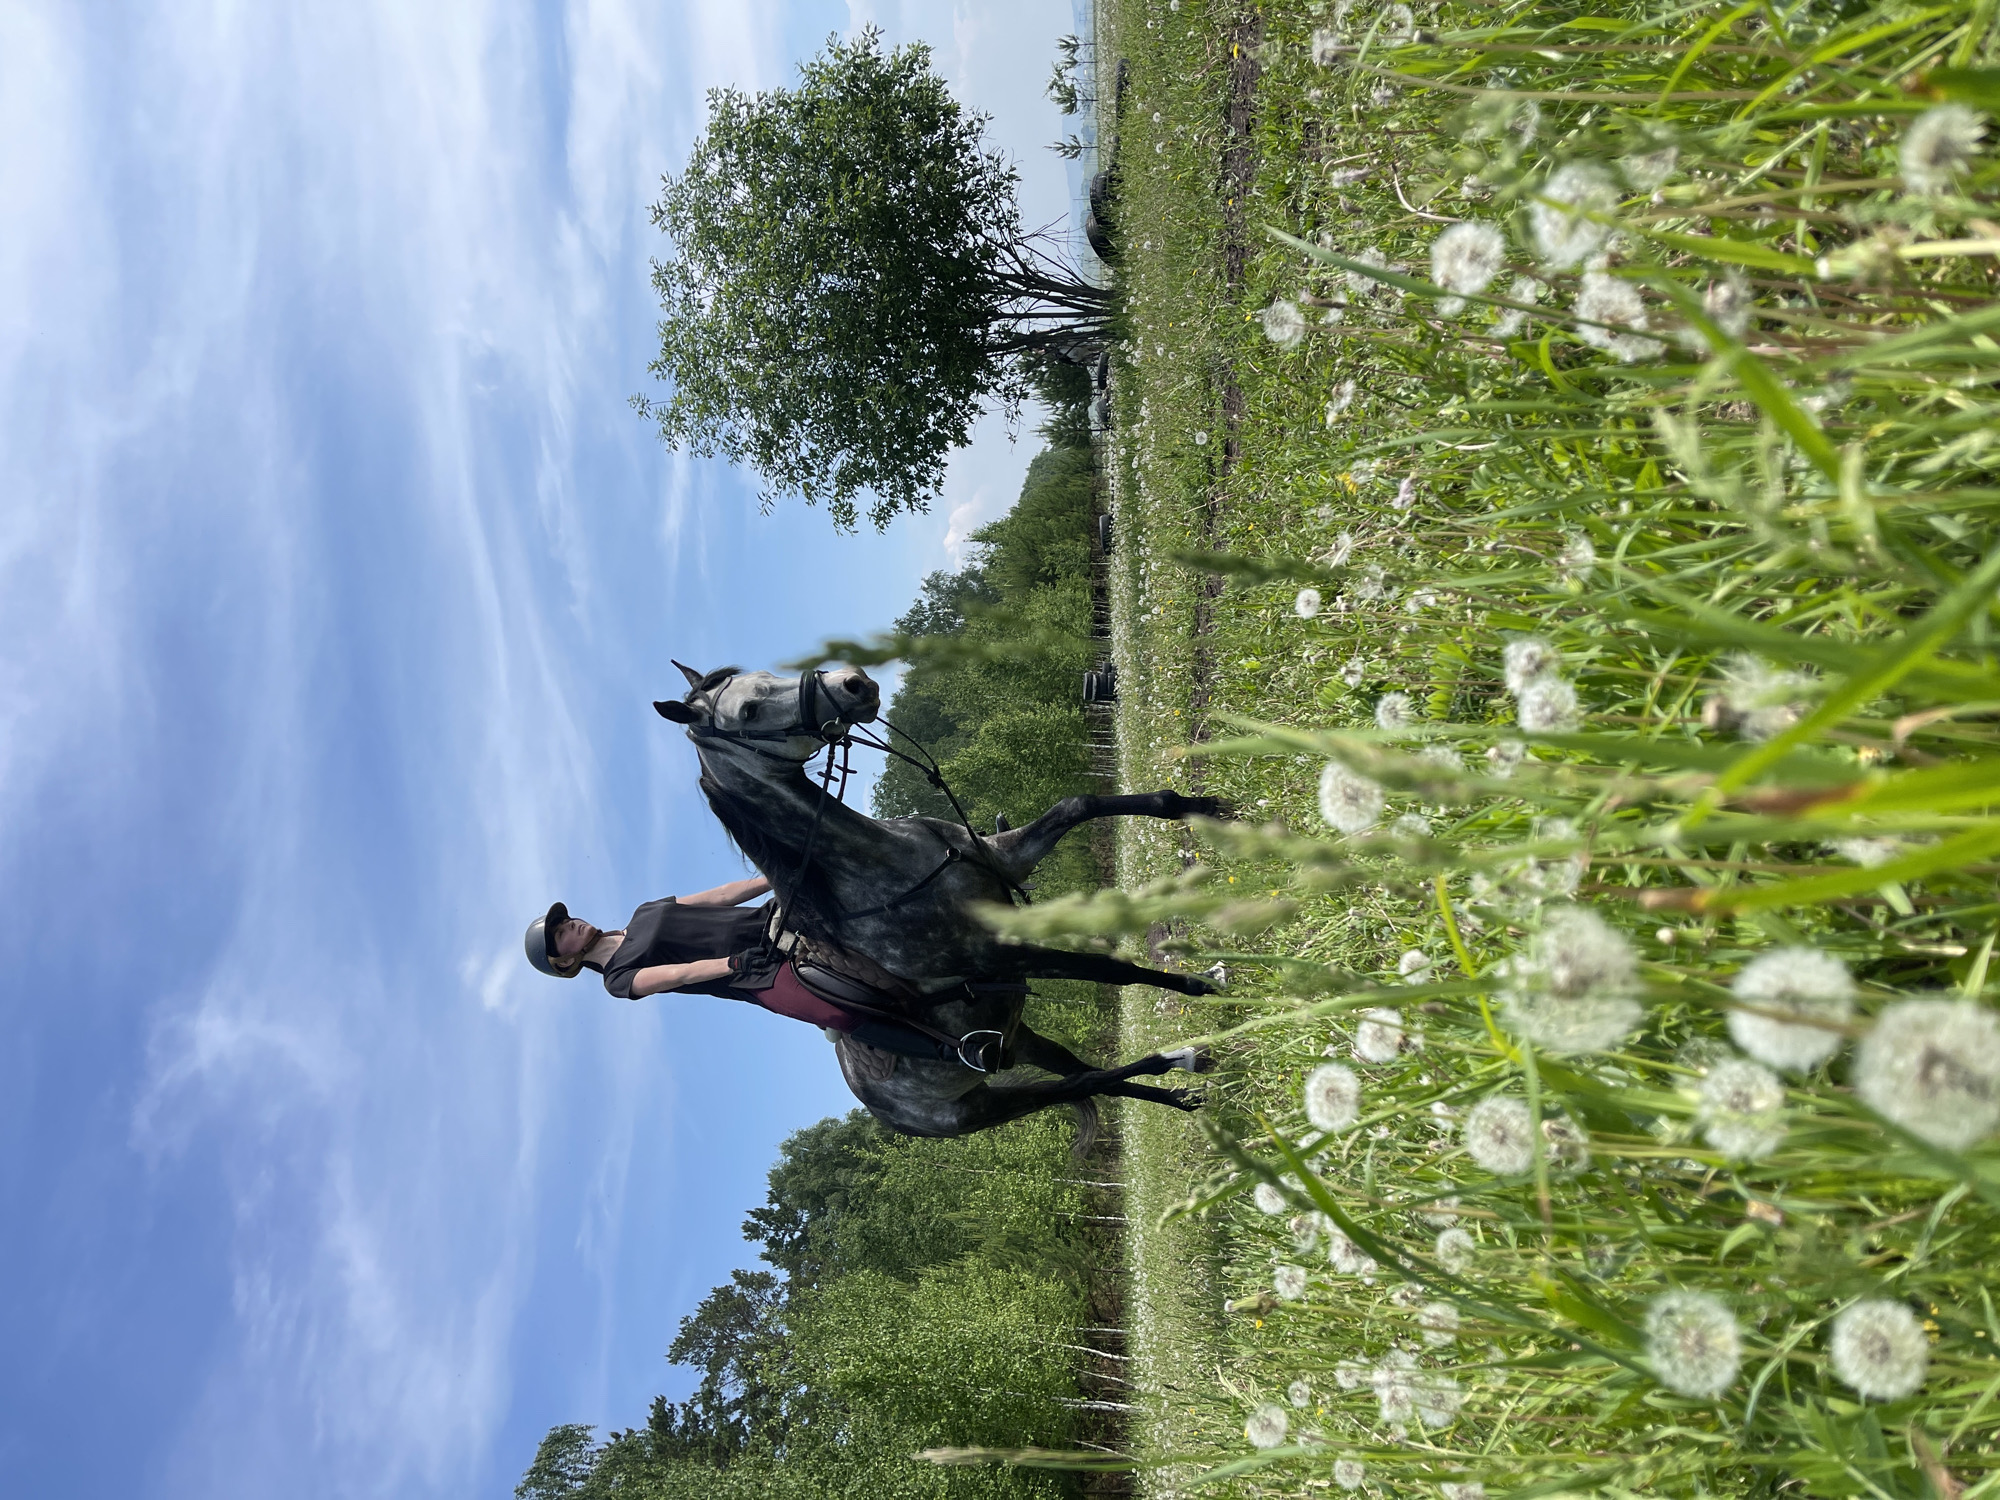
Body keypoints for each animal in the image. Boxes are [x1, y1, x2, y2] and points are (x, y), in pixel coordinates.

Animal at [652, 661, 1227, 1143]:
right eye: (748, 711)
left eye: (768, 676)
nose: (853, 684)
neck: (888, 865)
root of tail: (876, 1103)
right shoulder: (1001, 951)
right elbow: (1114, 972)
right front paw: (1203, 985)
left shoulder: (1006, 859)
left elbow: (1079, 804)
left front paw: (1206, 808)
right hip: (980, 1106)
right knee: (1083, 1084)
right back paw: (1175, 1060)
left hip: (1017, 1038)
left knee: (1086, 1074)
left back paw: (1183, 1095)